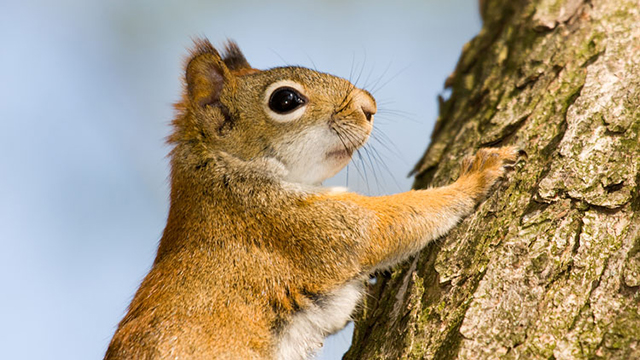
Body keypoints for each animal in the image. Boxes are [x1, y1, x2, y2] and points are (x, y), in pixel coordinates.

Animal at [105, 38, 524, 358]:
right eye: (285, 100)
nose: (369, 106)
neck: (225, 173)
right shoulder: (297, 225)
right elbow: (386, 224)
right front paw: (476, 176)